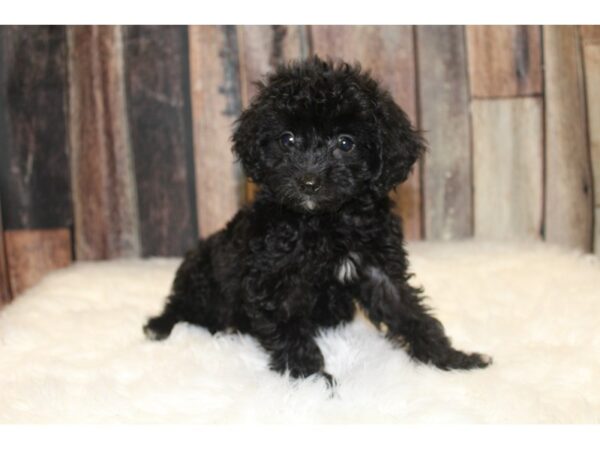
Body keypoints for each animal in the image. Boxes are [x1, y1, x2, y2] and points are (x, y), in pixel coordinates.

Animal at [145, 57, 492, 384]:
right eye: (287, 139)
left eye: (345, 143)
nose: (309, 182)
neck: (325, 221)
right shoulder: (275, 278)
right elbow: (290, 332)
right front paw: (312, 381)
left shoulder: (378, 266)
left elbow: (408, 310)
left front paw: (452, 358)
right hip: (201, 270)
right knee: (183, 305)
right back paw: (159, 326)